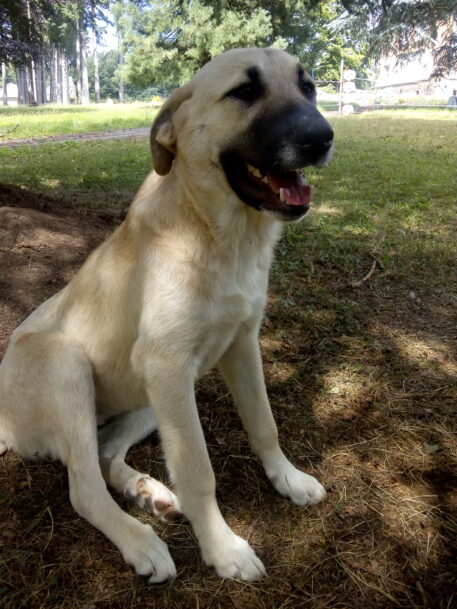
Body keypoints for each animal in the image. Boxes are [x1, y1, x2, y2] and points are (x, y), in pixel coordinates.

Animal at [1, 47, 334, 580]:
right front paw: (222, 547)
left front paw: (288, 477)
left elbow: (264, 423)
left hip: (146, 401)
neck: (216, 235)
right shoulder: (168, 367)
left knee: (102, 453)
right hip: (70, 366)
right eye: (244, 91)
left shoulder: (240, 345)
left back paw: (147, 492)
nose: (322, 138)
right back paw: (142, 541)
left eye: (309, 87)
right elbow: (198, 471)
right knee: (83, 488)